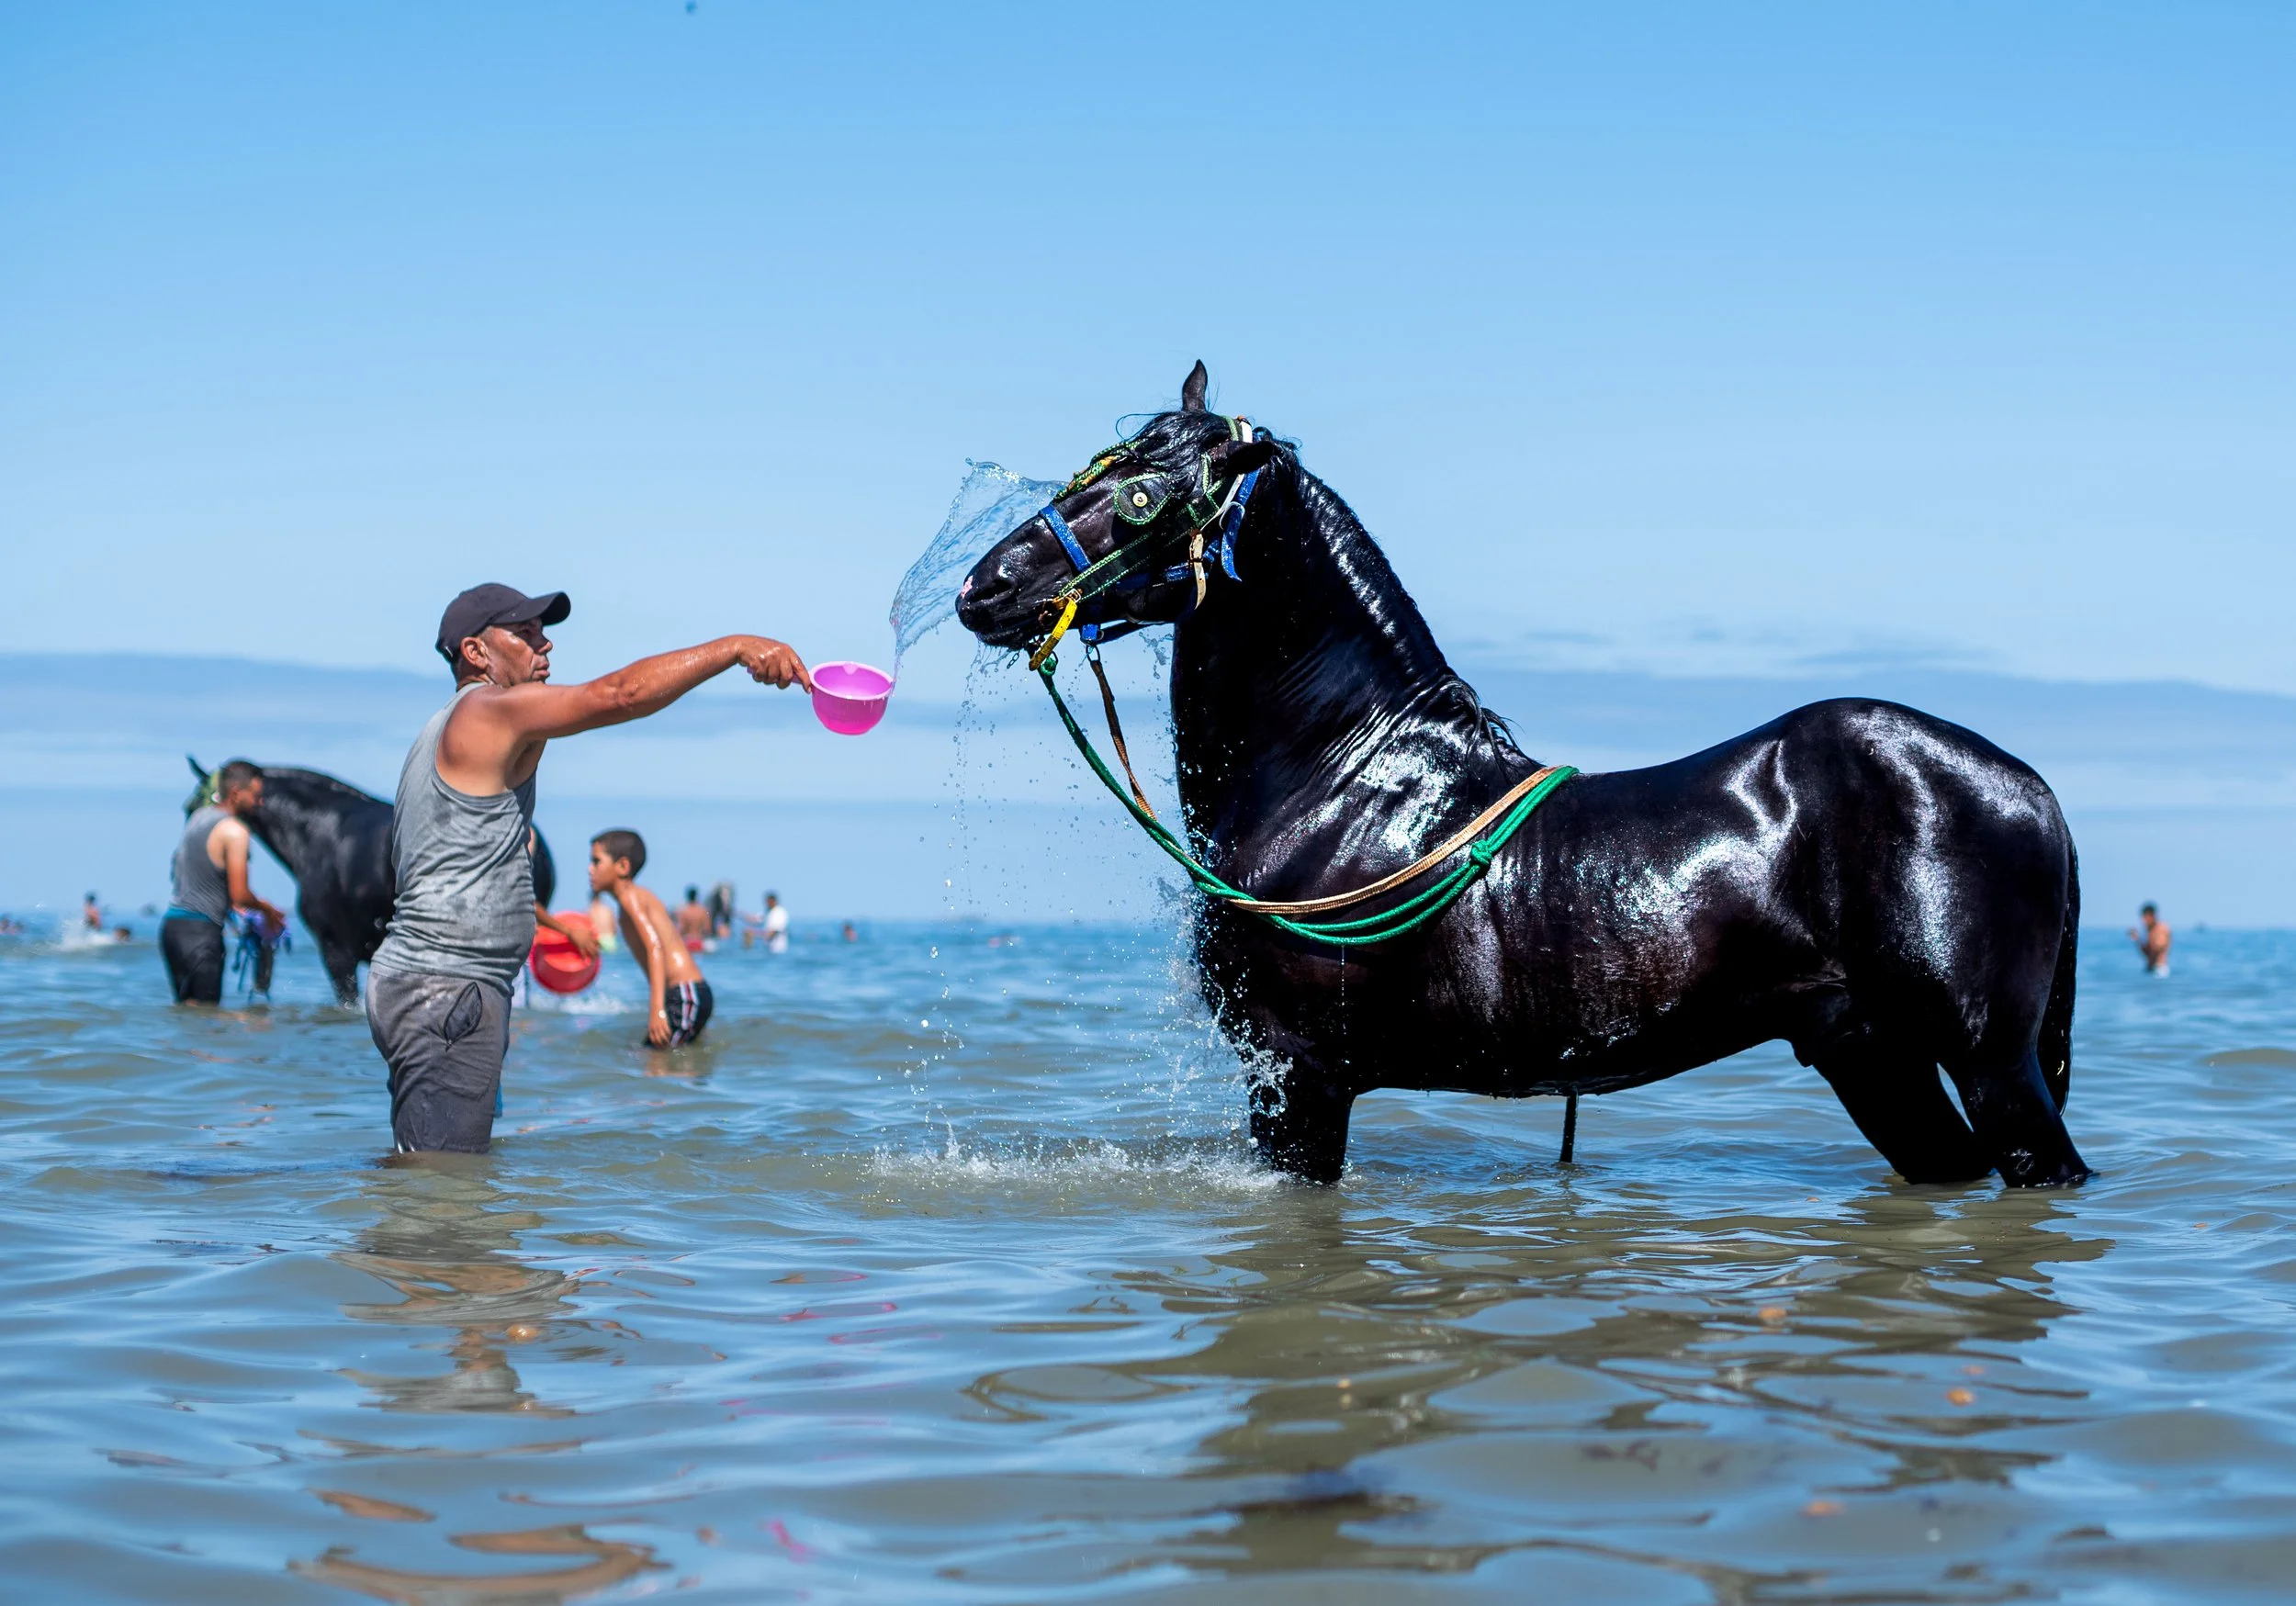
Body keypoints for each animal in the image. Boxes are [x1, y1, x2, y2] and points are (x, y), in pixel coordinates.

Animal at [957, 362, 2089, 1190]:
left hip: (1988, 1062)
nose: (985, 586)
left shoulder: (1300, 1079)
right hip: (1871, 1054)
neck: (1339, 786)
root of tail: (2027, 789)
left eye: (1144, 495)